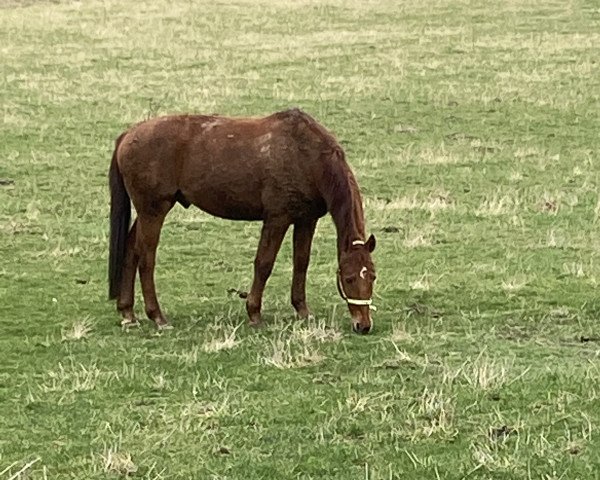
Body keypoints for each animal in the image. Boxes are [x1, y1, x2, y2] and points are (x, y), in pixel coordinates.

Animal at [108, 109, 378, 334]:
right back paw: (157, 316)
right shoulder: (277, 219)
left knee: (130, 250)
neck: (305, 155)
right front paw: (254, 312)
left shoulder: (306, 220)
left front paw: (302, 310)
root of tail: (128, 135)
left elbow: (301, 263)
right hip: (153, 211)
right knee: (146, 258)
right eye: (349, 278)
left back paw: (128, 312)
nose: (363, 325)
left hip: (148, 212)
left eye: (373, 277)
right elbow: (264, 264)